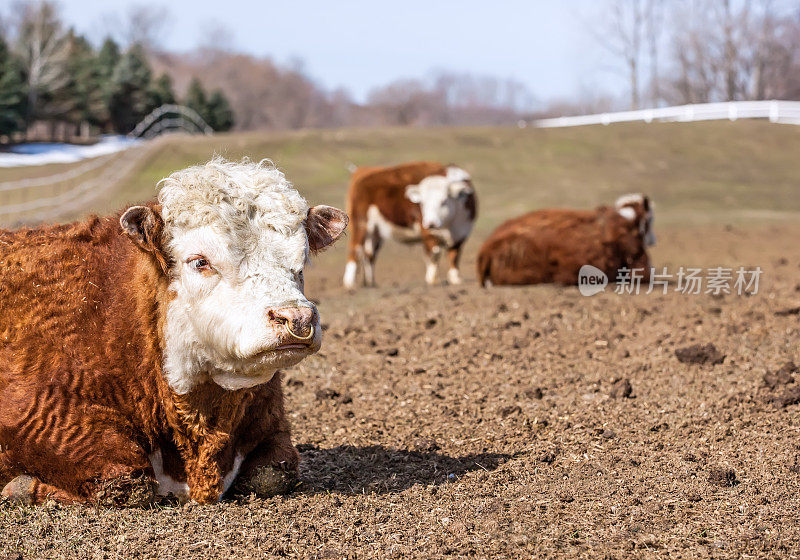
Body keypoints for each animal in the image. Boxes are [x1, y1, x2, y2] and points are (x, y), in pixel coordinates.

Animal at [1, 158, 348, 508]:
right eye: (200, 261)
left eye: (301, 262)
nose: (298, 317)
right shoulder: (38, 415)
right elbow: (124, 479)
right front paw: (23, 486)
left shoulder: (271, 422)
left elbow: (274, 473)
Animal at [342, 160, 476, 286]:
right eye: (422, 203)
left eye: (443, 201)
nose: (431, 223)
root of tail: (362, 177)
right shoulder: (427, 232)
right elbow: (434, 253)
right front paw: (432, 279)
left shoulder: (462, 232)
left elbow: (455, 255)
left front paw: (455, 278)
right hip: (361, 224)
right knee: (355, 249)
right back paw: (349, 282)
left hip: (375, 231)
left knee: (370, 254)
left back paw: (371, 283)